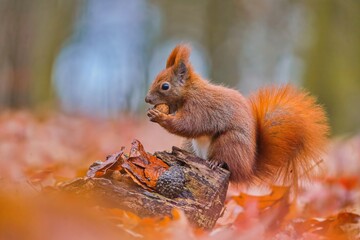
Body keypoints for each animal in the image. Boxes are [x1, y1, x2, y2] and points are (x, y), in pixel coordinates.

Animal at [146, 44, 330, 188]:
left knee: (228, 164)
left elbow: (188, 124)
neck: (190, 92)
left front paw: (160, 117)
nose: (147, 99)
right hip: (190, 145)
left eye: (165, 86)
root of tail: (248, 169)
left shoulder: (201, 107)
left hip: (229, 143)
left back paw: (216, 162)